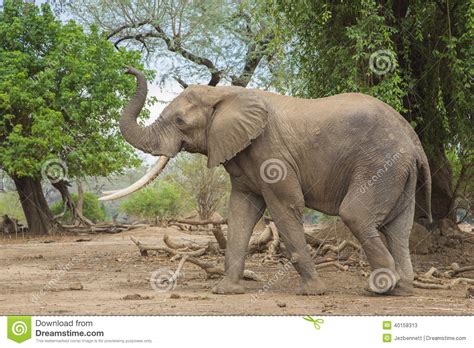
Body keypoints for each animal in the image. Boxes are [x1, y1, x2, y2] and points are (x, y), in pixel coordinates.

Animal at [101, 67, 434, 296]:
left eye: (180, 121)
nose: (128, 69)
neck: (225, 94)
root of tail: (415, 141)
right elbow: (241, 212)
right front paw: (225, 291)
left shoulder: (272, 154)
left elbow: (286, 207)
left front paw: (312, 292)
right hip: (399, 171)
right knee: (398, 226)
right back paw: (402, 289)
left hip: (381, 163)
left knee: (356, 214)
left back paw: (379, 288)